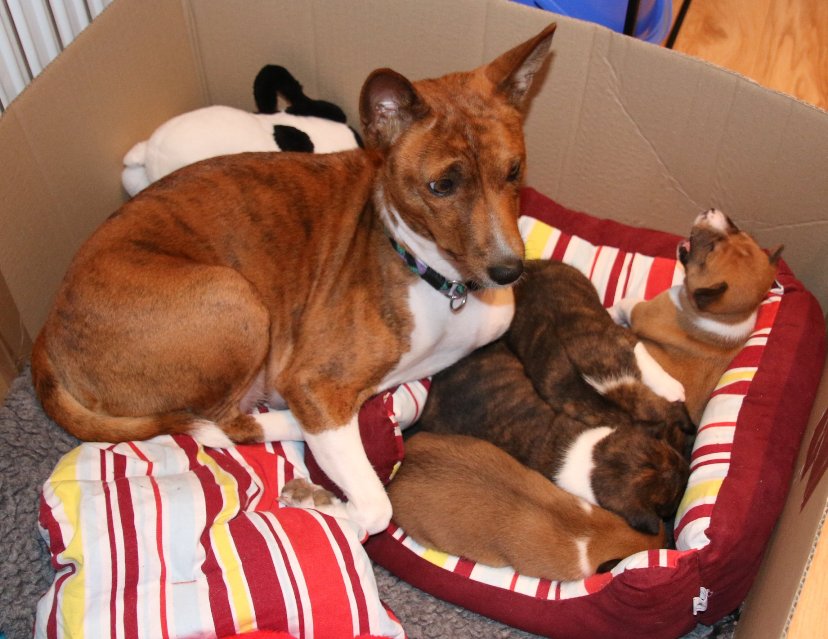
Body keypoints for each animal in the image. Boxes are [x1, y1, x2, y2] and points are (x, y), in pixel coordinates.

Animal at [30, 24, 557, 535]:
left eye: (514, 170)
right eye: (442, 186)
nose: (508, 271)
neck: (436, 278)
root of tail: (48, 331)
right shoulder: (313, 383)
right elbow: (374, 508)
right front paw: (318, 501)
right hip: (234, 301)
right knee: (224, 422)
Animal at [418, 260, 691, 535]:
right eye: (672, 499)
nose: (688, 467)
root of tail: (528, 266)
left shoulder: (629, 343)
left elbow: (647, 363)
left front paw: (671, 387)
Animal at [610, 209, 782, 424]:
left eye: (710, 249)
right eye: (737, 231)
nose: (711, 211)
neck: (728, 317)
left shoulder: (640, 311)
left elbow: (624, 304)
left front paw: (611, 311)